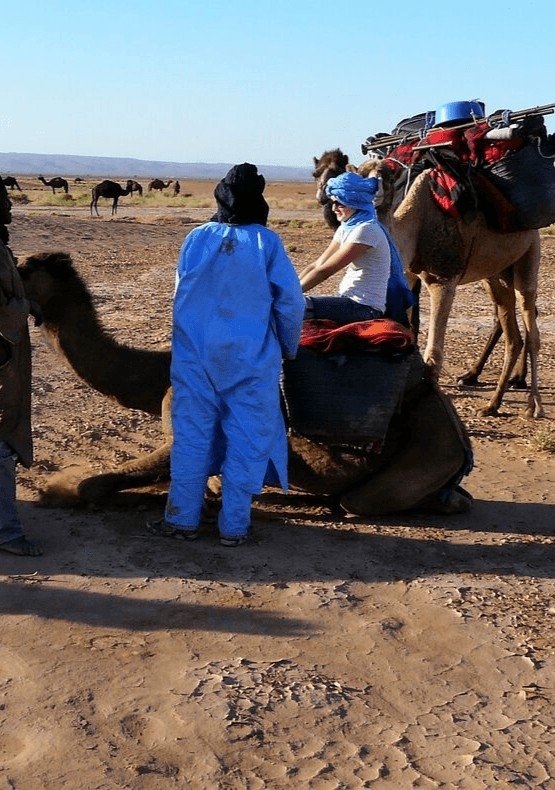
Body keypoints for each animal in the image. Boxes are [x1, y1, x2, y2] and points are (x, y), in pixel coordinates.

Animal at [19, 251, 476, 516]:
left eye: (21, 267)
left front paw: (56, 492)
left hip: (429, 449)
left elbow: (96, 482)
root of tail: (461, 439)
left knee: (359, 502)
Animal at [314, 150, 544, 420]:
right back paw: (492, 403)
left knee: (531, 322)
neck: (416, 222)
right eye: (360, 174)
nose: (373, 192)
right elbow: (407, 327)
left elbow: (433, 351)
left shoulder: (443, 278)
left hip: (529, 255)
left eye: (386, 175)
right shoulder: (408, 273)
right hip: (496, 274)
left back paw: (533, 405)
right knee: (512, 333)